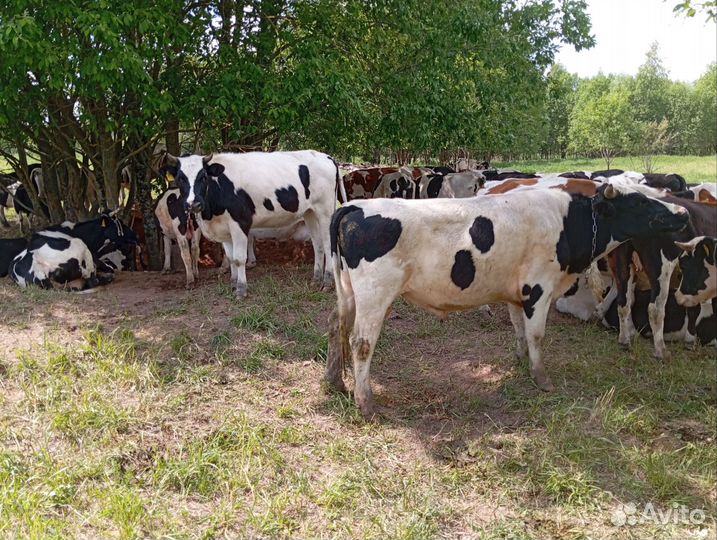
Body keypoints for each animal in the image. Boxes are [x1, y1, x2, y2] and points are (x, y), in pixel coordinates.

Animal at [166, 150, 344, 297]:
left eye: (203, 177)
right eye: (180, 178)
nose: (193, 204)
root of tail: (325, 156)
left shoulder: (240, 223)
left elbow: (239, 258)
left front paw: (241, 290)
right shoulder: (224, 229)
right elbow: (231, 258)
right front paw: (233, 284)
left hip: (325, 211)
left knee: (327, 245)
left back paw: (327, 282)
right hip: (309, 213)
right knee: (317, 245)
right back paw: (316, 279)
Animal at [325, 182, 688, 418]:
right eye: (639, 202)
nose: (683, 211)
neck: (568, 222)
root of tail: (354, 207)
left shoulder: (518, 292)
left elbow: (518, 328)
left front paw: (519, 359)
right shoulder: (539, 286)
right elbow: (537, 333)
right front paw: (541, 378)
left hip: (348, 291)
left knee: (336, 326)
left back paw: (335, 381)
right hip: (375, 293)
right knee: (361, 342)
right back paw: (365, 402)